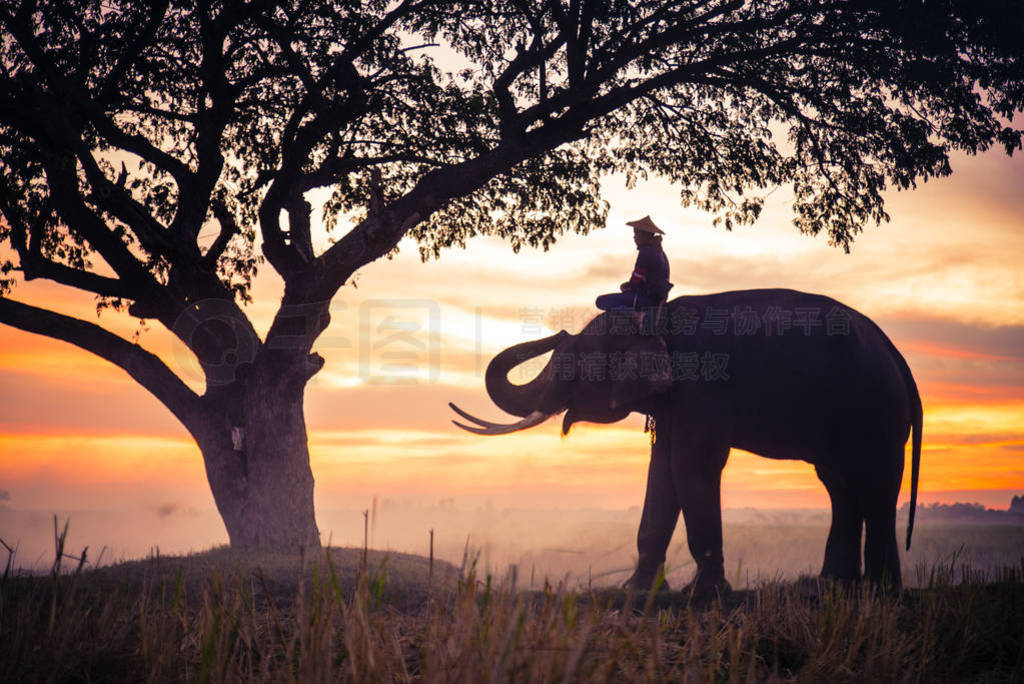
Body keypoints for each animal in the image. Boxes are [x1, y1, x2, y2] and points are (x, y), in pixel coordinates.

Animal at [452, 288, 925, 593]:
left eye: (574, 363)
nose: (560, 332)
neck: (655, 319)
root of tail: (897, 356)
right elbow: (661, 470)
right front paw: (636, 592)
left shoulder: (704, 390)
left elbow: (689, 465)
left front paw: (703, 596)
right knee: (839, 485)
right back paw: (831, 586)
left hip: (875, 410)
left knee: (874, 487)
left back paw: (881, 592)